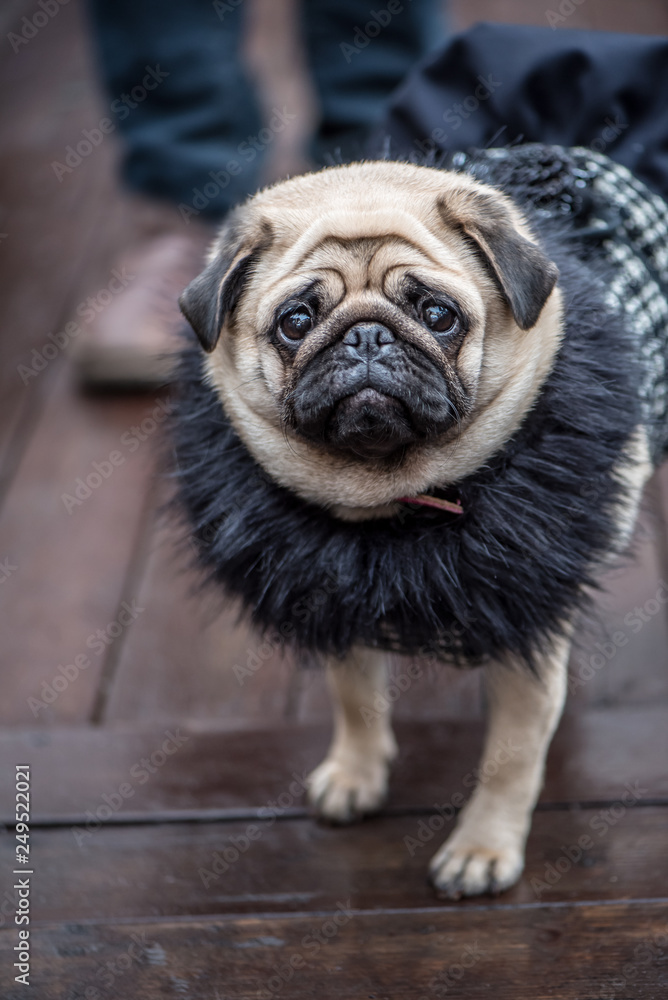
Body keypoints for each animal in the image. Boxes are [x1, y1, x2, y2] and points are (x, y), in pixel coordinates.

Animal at [174, 146, 668, 900]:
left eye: (438, 315)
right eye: (295, 322)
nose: (366, 335)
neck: (398, 504)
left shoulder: (520, 634)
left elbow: (509, 760)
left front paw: (484, 847)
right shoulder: (335, 594)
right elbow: (354, 697)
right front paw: (356, 773)